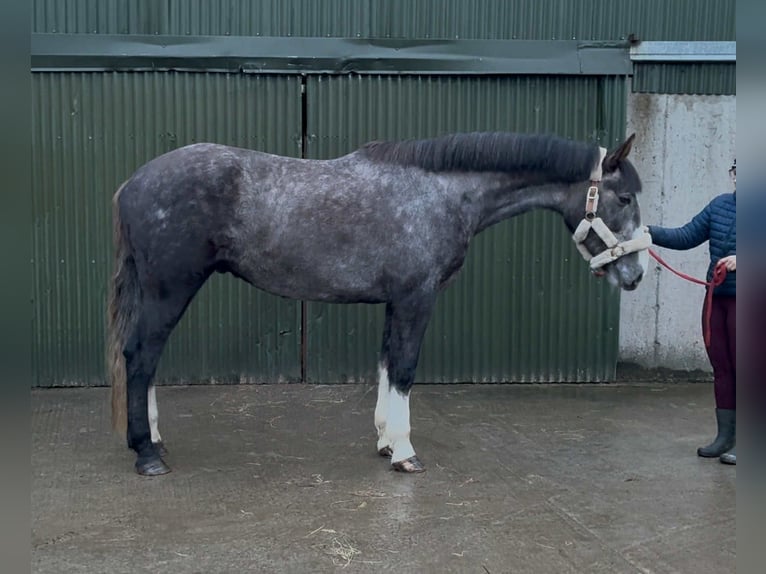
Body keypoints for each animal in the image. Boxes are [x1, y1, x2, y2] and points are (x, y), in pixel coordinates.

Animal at [107, 131, 651, 476]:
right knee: (141, 356)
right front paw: (405, 452)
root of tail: (132, 183)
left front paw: (387, 440)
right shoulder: (416, 298)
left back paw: (153, 440)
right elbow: (405, 369)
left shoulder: (396, 302)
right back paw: (147, 454)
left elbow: (388, 365)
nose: (636, 275)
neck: (441, 193)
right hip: (169, 289)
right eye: (624, 198)